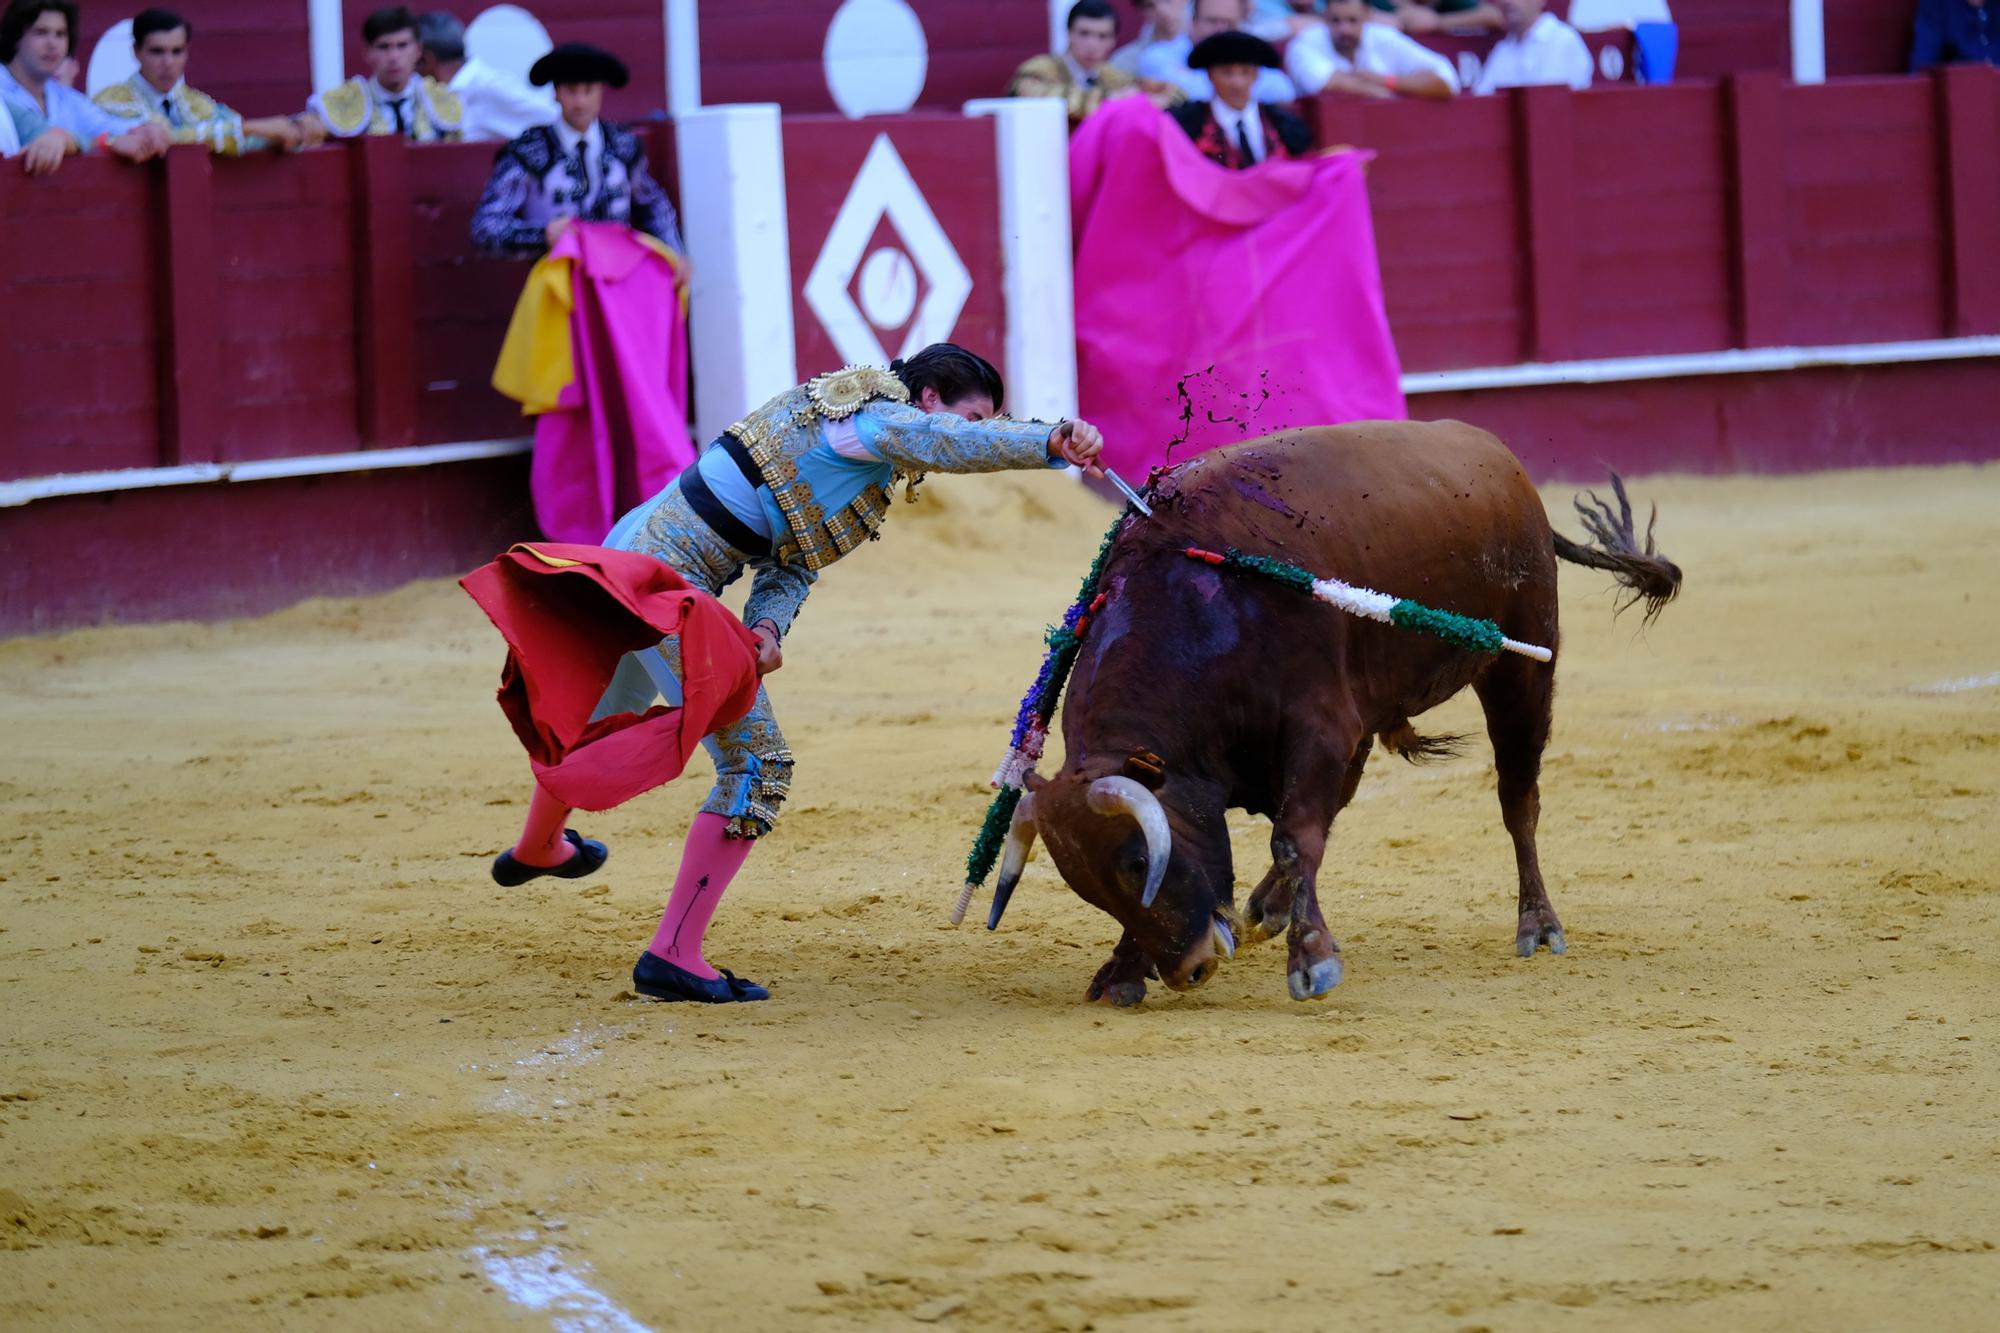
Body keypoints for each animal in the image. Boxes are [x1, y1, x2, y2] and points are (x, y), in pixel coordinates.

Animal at [992, 420, 1680, 1000]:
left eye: (1138, 862)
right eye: (1090, 889)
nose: (1189, 969)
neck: (1204, 609)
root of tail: (1505, 466)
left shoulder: (1320, 729)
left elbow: (1295, 837)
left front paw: (1312, 959)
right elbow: (1296, 832)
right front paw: (1121, 970)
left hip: (1522, 668)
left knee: (1518, 800)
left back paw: (1538, 925)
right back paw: (1266, 908)